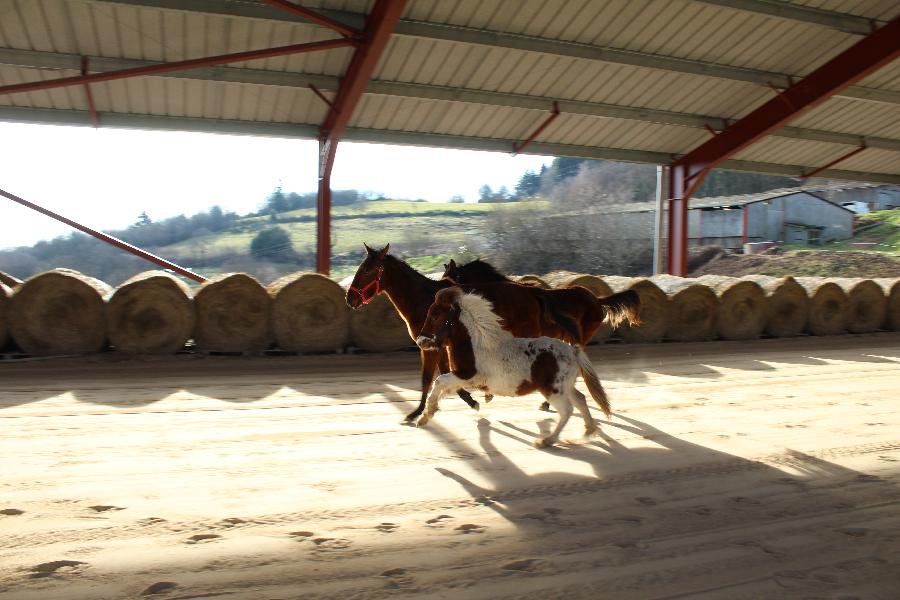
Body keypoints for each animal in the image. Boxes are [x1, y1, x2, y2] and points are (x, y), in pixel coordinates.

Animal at [344, 244, 584, 422]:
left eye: (367, 270)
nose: (350, 297)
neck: (424, 300)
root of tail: (533, 291)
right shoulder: (439, 345)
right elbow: (441, 374)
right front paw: (468, 398)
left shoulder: (431, 346)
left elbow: (427, 378)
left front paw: (417, 412)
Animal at [416, 288, 612, 448]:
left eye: (434, 315)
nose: (420, 341)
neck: (476, 344)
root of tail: (573, 350)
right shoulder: (462, 379)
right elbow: (444, 387)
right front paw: (428, 414)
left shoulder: (467, 376)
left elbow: (439, 381)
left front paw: (423, 418)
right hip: (566, 387)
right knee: (581, 400)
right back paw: (588, 431)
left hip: (553, 390)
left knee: (567, 410)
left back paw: (546, 441)